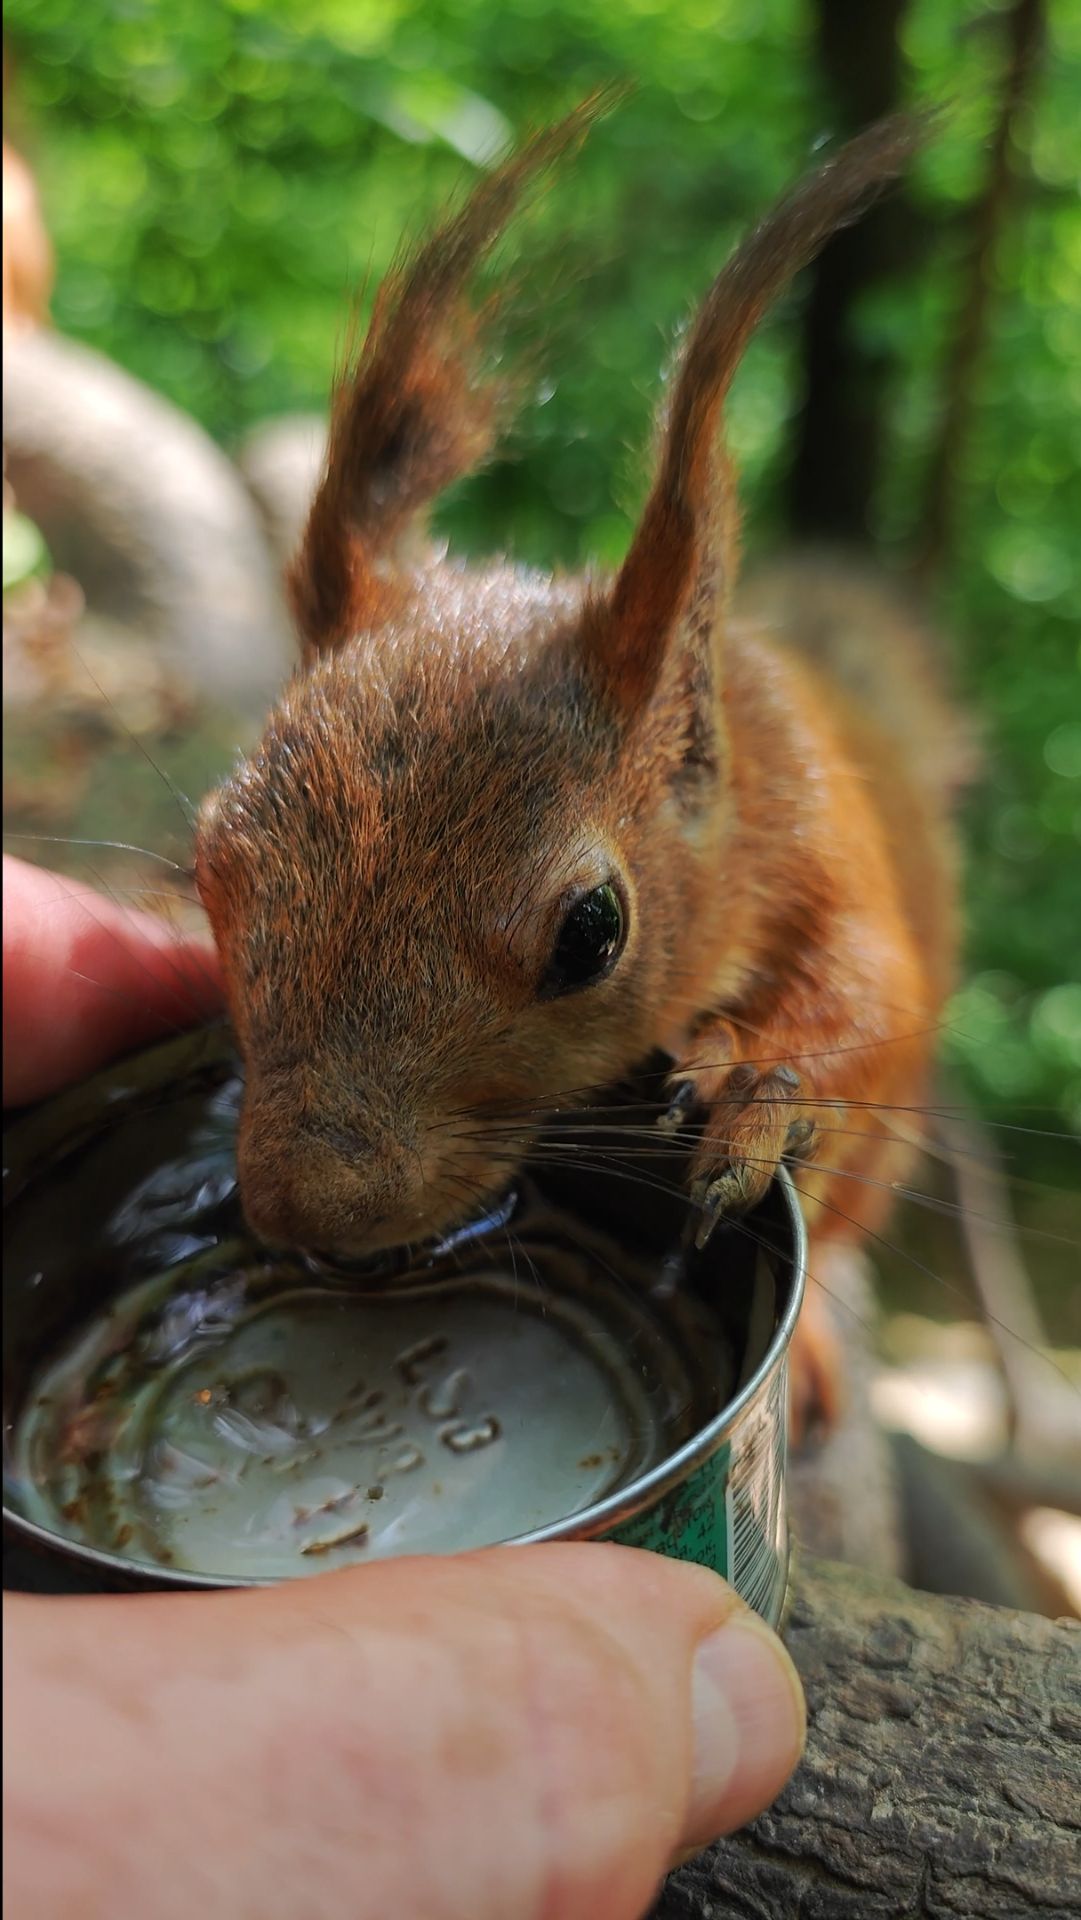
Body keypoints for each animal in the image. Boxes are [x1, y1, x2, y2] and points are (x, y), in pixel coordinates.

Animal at [195, 100, 964, 1427]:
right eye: (207, 865)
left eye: (592, 933)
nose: (309, 1209)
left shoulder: (822, 841)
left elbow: (871, 992)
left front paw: (760, 1091)